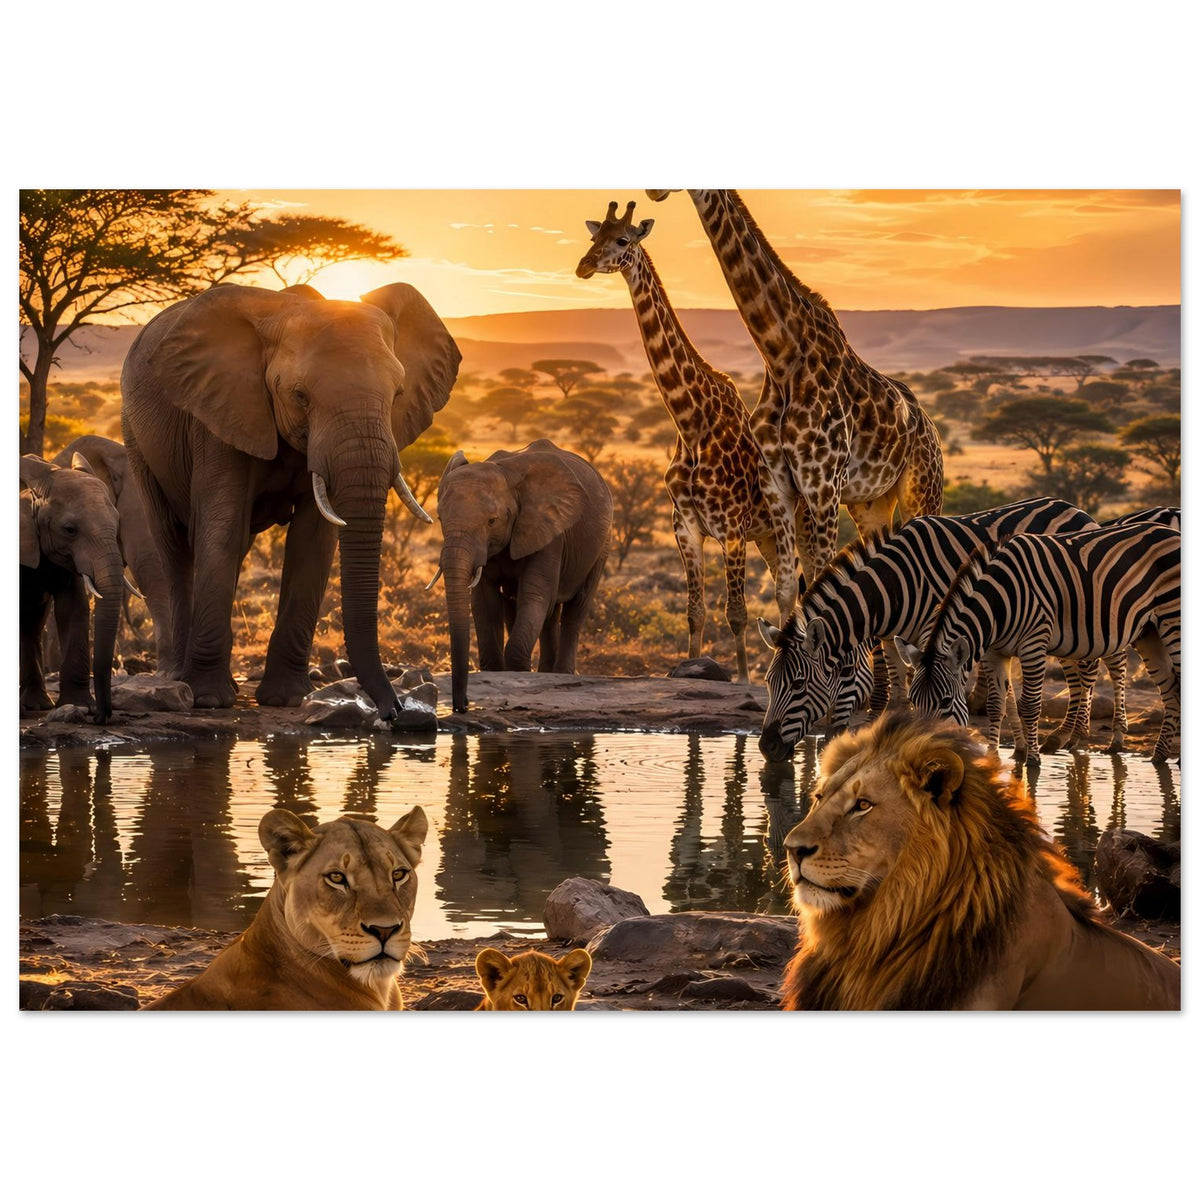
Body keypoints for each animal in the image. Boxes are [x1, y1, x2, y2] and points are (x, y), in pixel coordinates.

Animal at [757, 497, 1098, 761]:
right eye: (768, 682)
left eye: (799, 684)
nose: (766, 747)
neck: (894, 586)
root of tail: (1074, 508)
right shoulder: (894, 639)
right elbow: (899, 696)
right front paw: (1020, 748)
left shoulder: (936, 633)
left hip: (1073, 614)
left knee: (1087, 670)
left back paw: (1072, 736)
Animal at [907, 522, 1180, 764]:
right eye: (912, 701)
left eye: (945, 702)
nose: (921, 752)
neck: (997, 604)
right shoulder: (994, 653)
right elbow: (995, 705)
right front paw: (993, 759)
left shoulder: (1033, 646)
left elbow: (1029, 705)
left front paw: (1033, 761)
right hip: (1148, 632)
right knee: (1170, 688)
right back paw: (1159, 757)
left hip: (1172, 619)